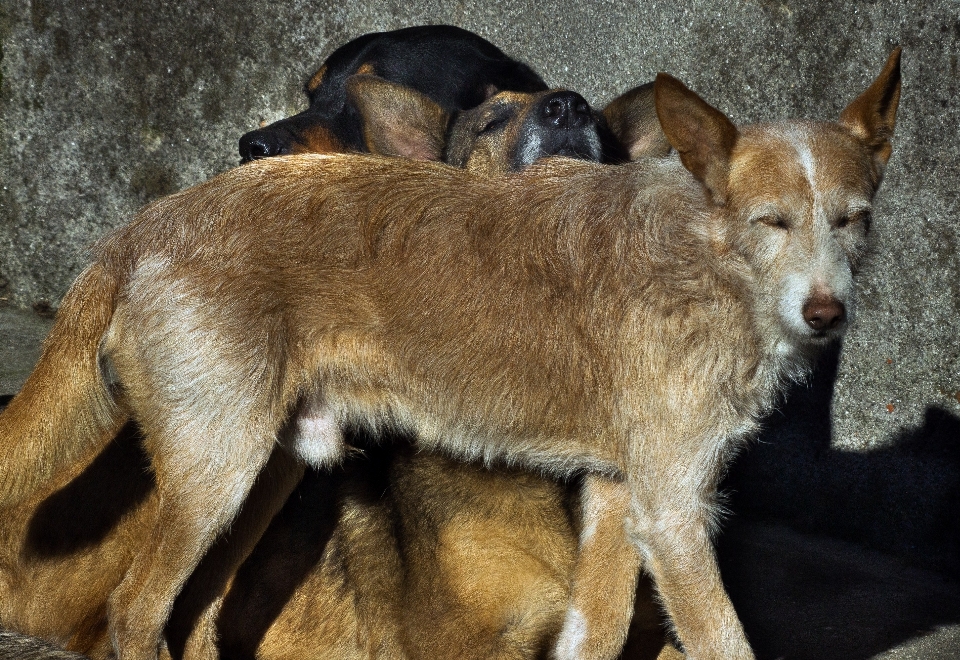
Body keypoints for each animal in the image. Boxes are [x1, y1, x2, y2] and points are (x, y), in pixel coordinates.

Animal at [0, 47, 900, 660]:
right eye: (770, 222)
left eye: (852, 220)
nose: (826, 314)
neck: (705, 257)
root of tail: (147, 222)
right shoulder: (673, 515)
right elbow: (723, 640)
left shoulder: (619, 501)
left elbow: (597, 635)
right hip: (215, 475)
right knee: (134, 610)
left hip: (260, 480)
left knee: (188, 615)